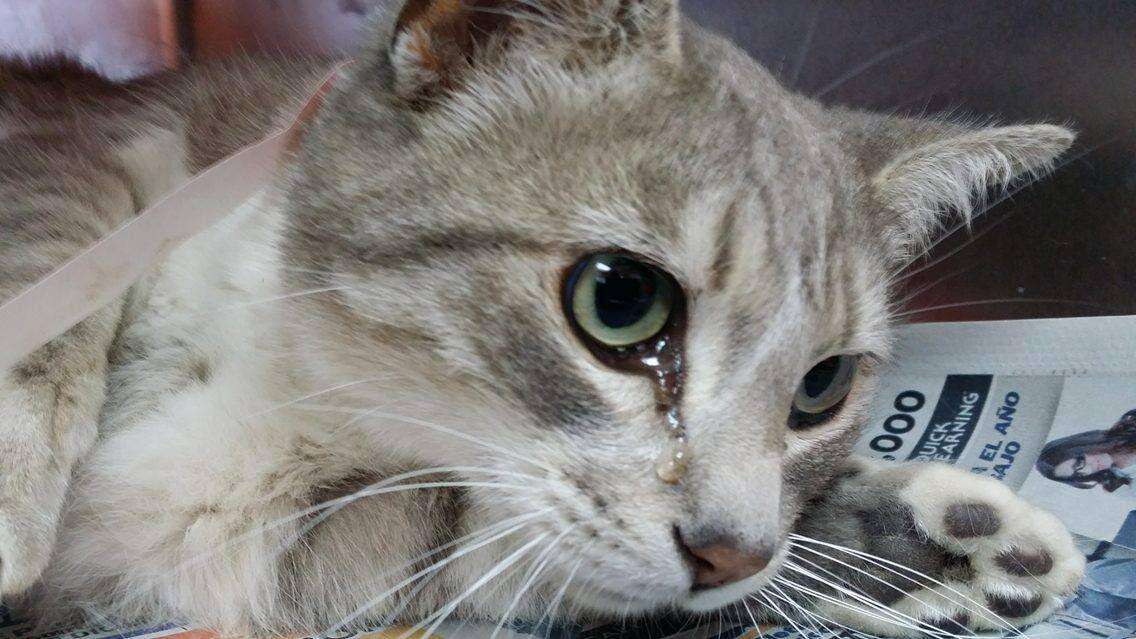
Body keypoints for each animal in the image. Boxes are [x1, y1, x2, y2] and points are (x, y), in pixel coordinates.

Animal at [0, 1, 1081, 636]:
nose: (731, 553)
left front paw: (916, 544)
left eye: (821, 386)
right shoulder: (93, 127)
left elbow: (470, 542)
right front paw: (11, 498)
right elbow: (54, 233)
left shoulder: (211, 539)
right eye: (621, 300)